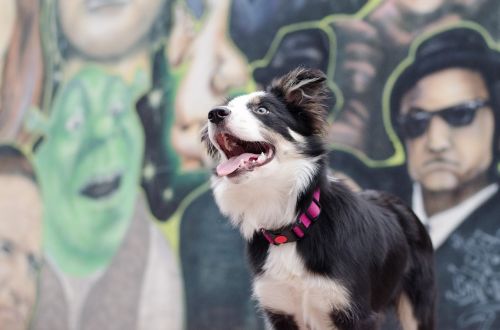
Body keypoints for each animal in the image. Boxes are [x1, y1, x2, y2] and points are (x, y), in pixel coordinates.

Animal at [201, 67, 436, 330]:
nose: (214, 114)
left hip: (418, 302)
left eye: (262, 110)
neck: (289, 227)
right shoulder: (279, 310)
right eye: (226, 107)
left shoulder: (356, 313)